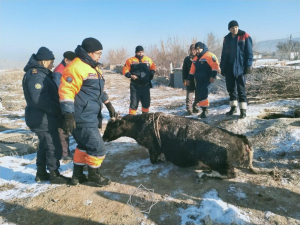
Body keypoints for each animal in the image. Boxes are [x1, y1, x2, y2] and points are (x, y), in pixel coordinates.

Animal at [102, 111, 272, 178]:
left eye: (111, 126)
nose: (103, 137)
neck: (142, 124)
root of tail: (240, 138)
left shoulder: (153, 149)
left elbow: (154, 160)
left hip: (214, 160)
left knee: (230, 173)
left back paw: (204, 175)